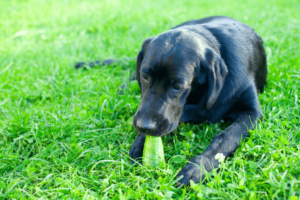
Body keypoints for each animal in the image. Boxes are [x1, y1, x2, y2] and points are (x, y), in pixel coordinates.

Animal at [76, 16, 266, 186]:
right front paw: (140, 144)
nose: (144, 126)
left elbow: (226, 137)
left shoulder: (251, 112)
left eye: (177, 86)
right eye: (145, 76)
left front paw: (198, 168)